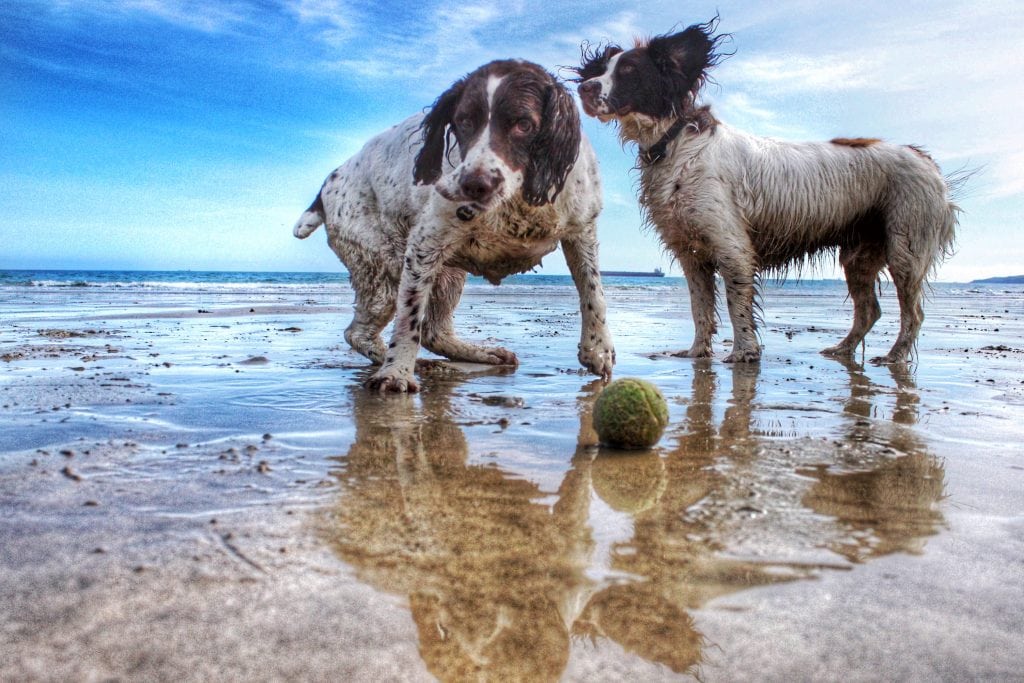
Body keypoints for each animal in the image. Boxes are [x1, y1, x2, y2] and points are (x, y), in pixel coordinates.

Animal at [292, 61, 610, 393]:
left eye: (524, 124)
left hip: (447, 275)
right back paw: (409, 362)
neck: (518, 196)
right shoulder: (424, 244)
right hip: (381, 271)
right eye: (464, 122)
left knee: (434, 332)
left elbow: (593, 292)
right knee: (360, 332)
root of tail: (326, 186)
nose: (474, 185)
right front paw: (397, 373)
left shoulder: (582, 230)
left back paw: (479, 354)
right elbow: (409, 319)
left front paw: (597, 350)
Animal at [577, 18, 958, 366]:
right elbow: (700, 308)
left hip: (906, 249)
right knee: (869, 311)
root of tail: (928, 162)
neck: (677, 143)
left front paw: (744, 352)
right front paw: (697, 352)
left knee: (913, 314)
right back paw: (842, 349)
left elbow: (736, 304)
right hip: (859, 257)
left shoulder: (732, 247)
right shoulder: (691, 253)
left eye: (629, 70)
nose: (584, 88)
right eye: (603, 69)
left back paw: (895, 356)